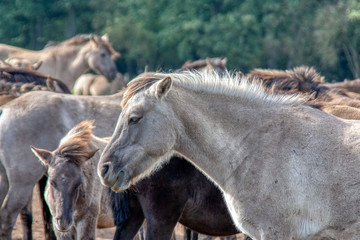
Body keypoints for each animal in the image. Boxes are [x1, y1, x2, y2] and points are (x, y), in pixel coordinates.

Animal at [0, 91, 124, 239]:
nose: (64, 222)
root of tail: (5, 109)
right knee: (8, 217)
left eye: (78, 184)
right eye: (51, 182)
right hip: (22, 182)